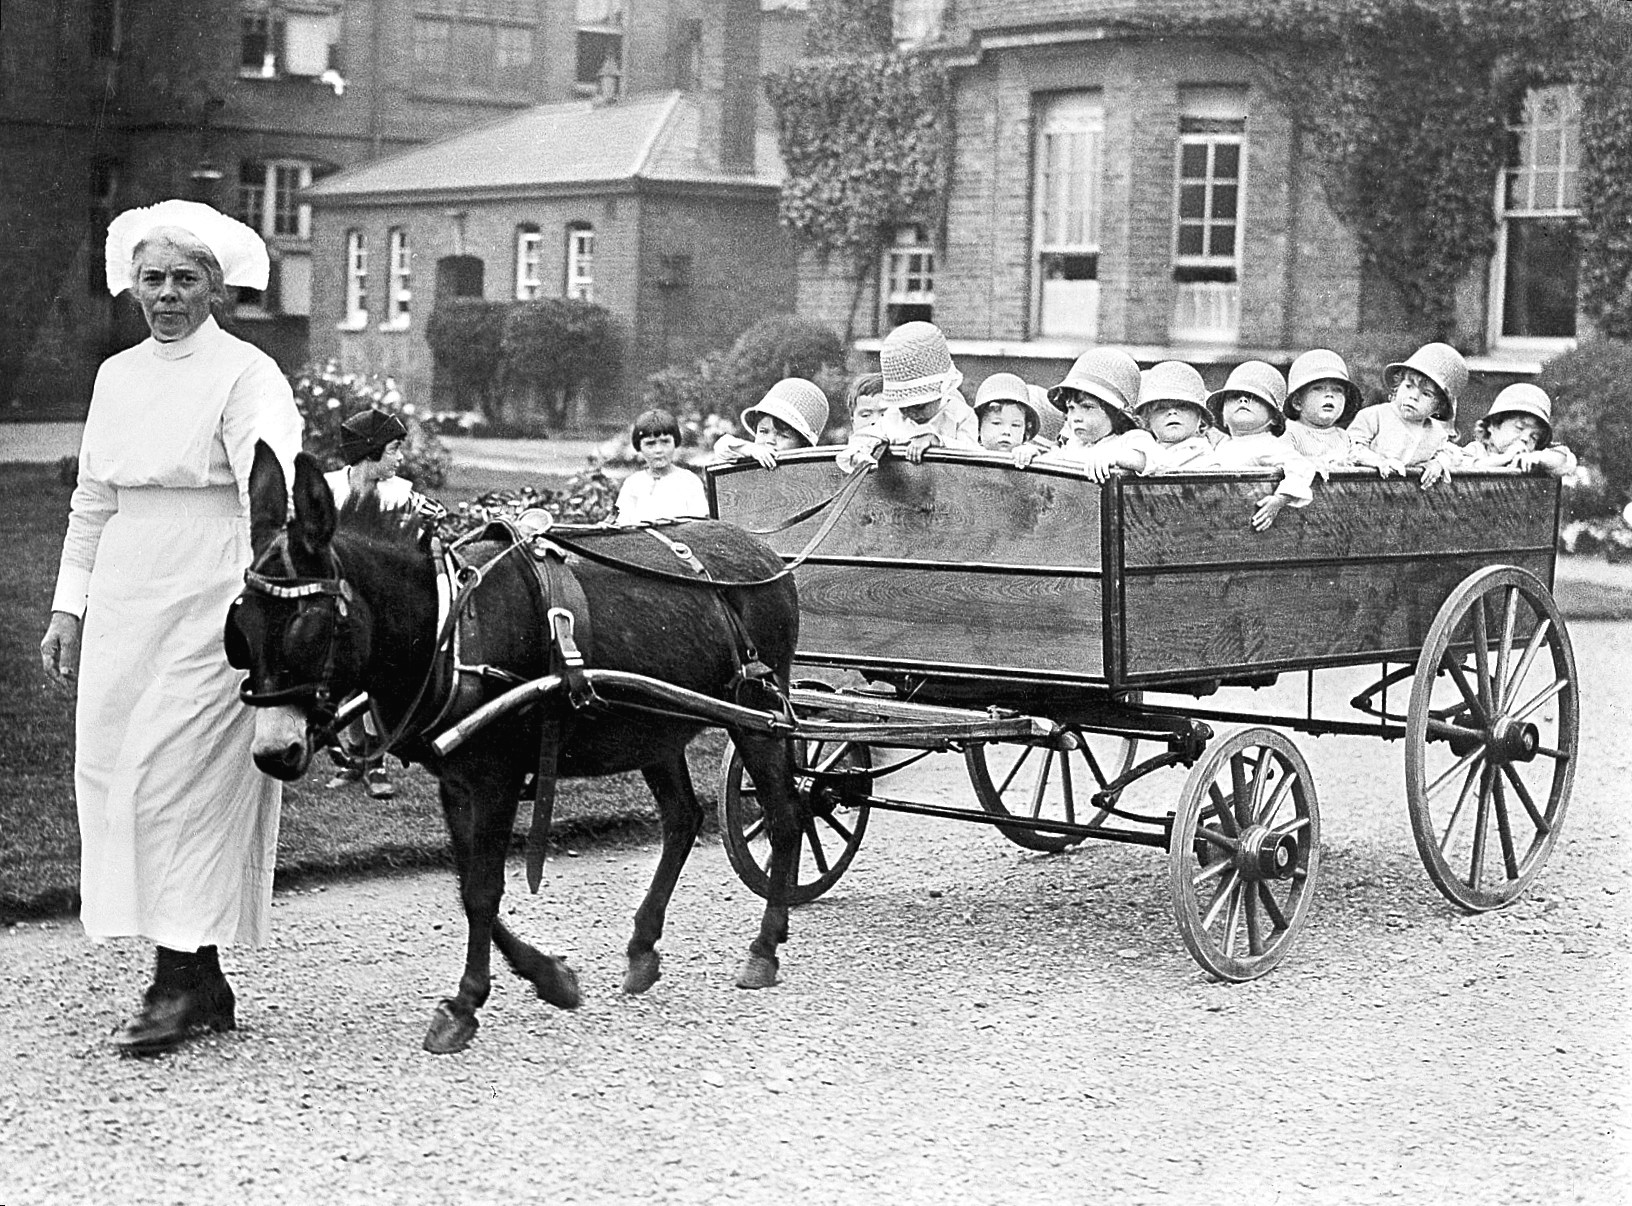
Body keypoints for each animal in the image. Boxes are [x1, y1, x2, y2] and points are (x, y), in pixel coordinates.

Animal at [233, 447, 806, 1057]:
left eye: (309, 625)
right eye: (240, 624)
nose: (274, 751)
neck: (452, 628)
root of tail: (763, 553)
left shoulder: (497, 776)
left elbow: (483, 889)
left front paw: (466, 1001)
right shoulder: (457, 777)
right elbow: (466, 884)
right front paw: (548, 975)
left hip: (757, 713)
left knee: (785, 815)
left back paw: (765, 945)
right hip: (656, 726)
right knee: (682, 819)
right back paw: (643, 946)